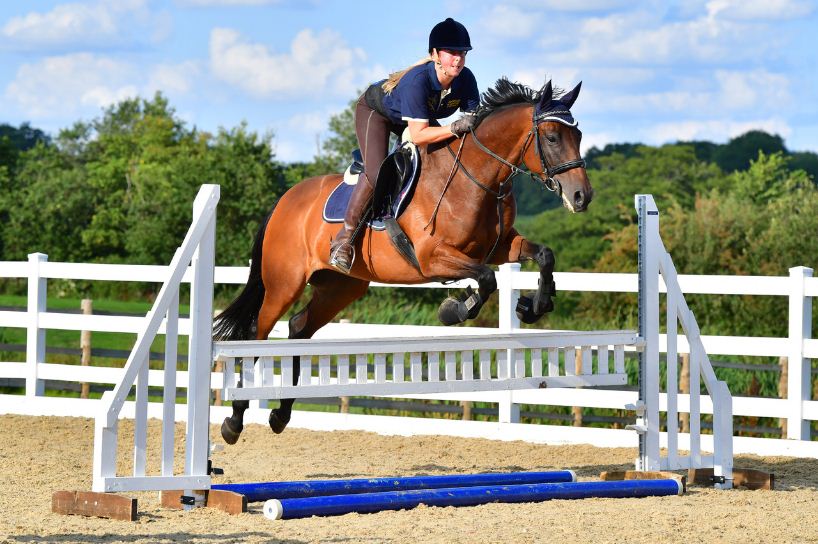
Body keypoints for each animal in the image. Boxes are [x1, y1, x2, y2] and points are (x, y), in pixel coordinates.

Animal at [213, 77, 592, 444]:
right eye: (553, 137)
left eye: (578, 135)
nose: (582, 197)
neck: (477, 176)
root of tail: (284, 201)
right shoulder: (433, 258)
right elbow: (486, 279)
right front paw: (454, 309)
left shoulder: (501, 247)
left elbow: (543, 255)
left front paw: (534, 306)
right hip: (284, 284)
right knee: (256, 335)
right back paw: (234, 420)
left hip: (340, 287)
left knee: (298, 328)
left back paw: (281, 414)